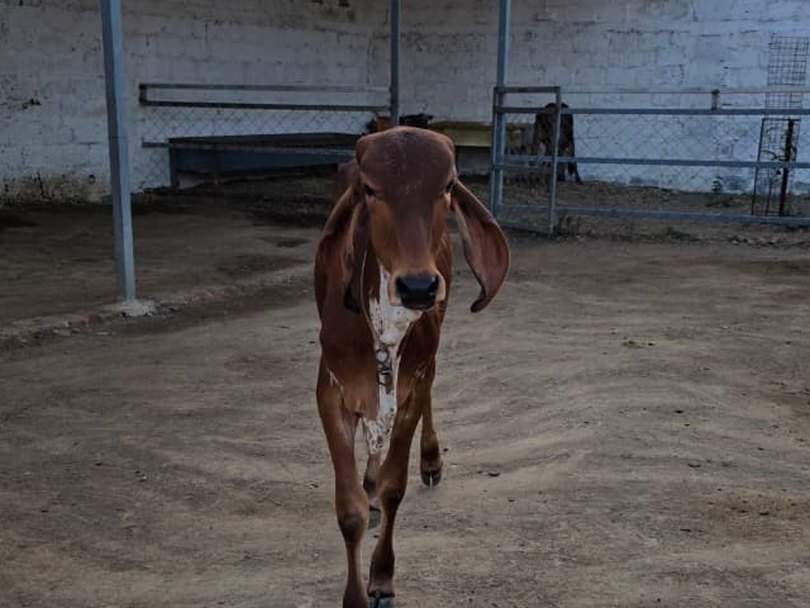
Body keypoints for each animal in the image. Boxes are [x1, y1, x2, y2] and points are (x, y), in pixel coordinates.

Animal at [314, 126, 510, 608]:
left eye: (447, 185)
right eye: (369, 189)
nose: (418, 286)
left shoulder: (411, 386)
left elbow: (394, 487)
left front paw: (382, 579)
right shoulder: (331, 391)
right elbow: (349, 510)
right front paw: (354, 595)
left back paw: (430, 460)